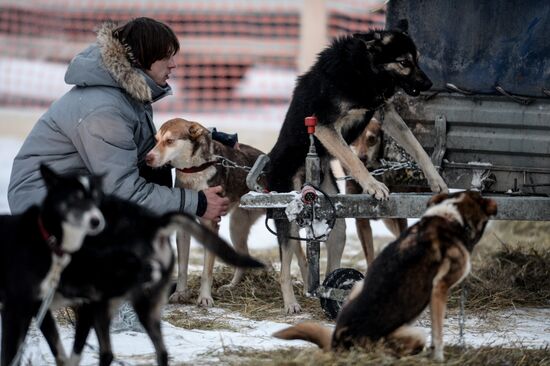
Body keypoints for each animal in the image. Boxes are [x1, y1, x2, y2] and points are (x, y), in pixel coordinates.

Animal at [0, 166, 104, 366]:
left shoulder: (39, 306)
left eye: (96, 199)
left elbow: (64, 349)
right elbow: (10, 355)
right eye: (75, 198)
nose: (97, 221)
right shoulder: (16, 308)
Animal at [146, 118, 268, 306]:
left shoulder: (211, 224)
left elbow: (206, 272)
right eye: (156, 140)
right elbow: (182, 268)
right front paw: (180, 293)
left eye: (170, 141)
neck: (195, 169)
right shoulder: (184, 227)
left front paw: (204, 297)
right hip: (237, 227)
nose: (147, 158)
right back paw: (231, 286)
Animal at [274, 190, 498, 362]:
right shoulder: (439, 289)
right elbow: (438, 334)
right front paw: (439, 357)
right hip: (412, 332)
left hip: (358, 286)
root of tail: (338, 339)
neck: (449, 218)